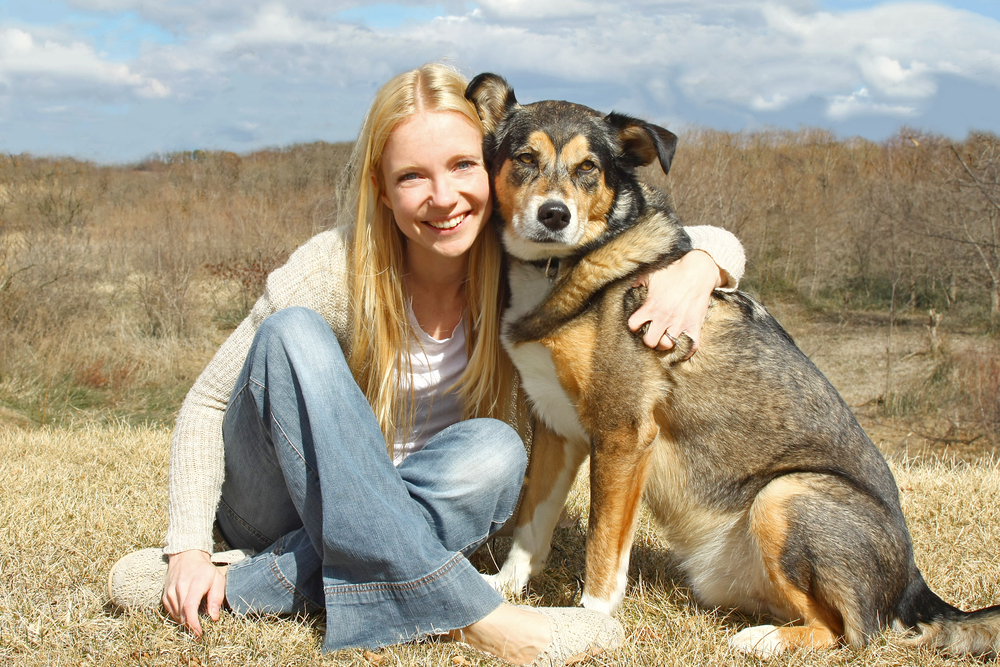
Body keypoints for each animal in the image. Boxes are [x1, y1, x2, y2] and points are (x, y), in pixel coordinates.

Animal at [466, 73, 1000, 656]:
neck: (564, 267)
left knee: (849, 633)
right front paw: (505, 588)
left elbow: (603, 549)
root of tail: (913, 586)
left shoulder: (622, 434)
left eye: (589, 167)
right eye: (524, 157)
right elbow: (531, 527)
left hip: (784, 494)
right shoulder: (558, 430)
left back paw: (762, 640)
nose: (554, 215)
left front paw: (592, 622)